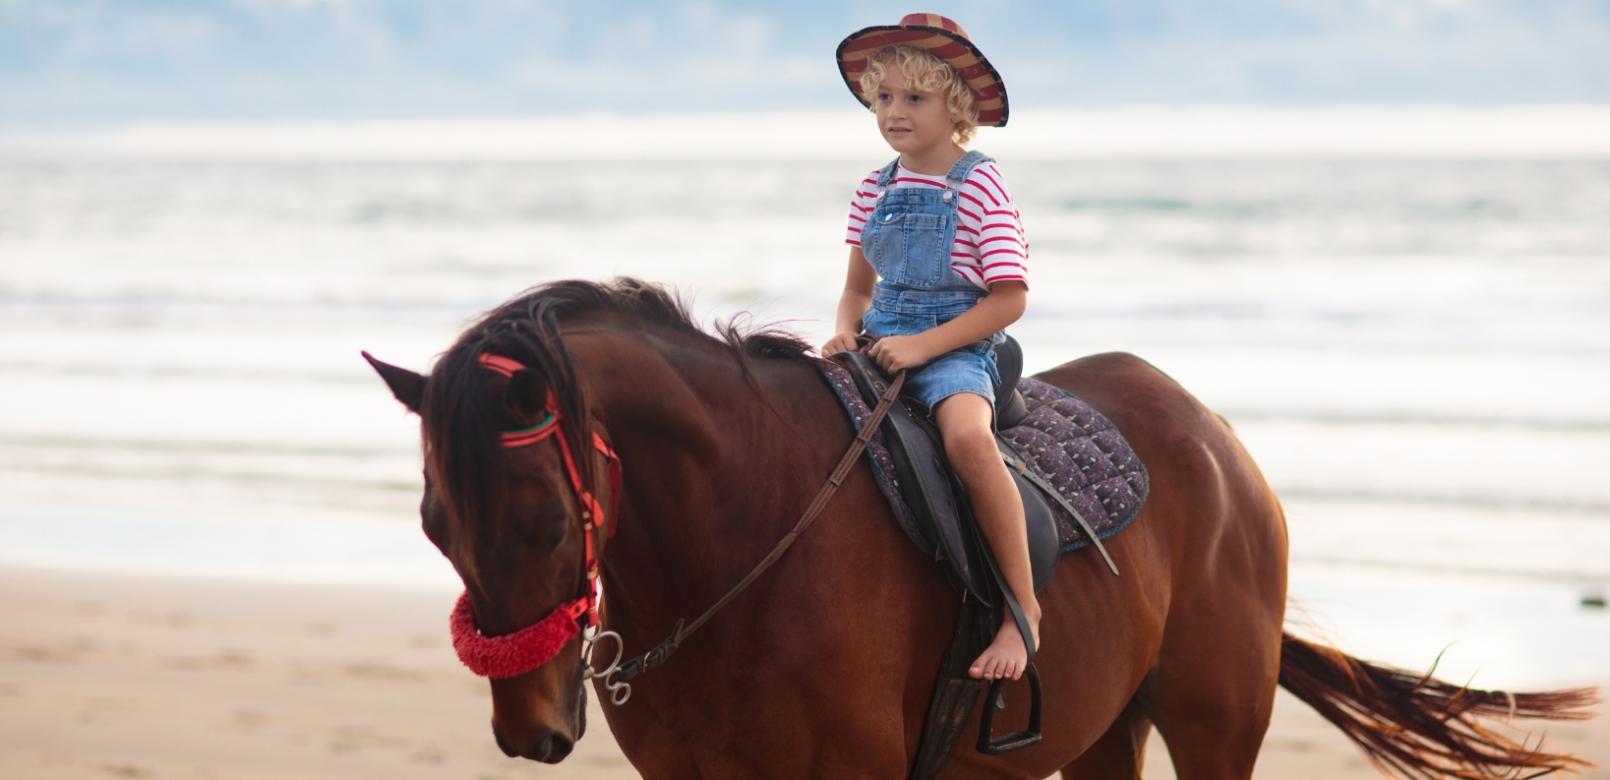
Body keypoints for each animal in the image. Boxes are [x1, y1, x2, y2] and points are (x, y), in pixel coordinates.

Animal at [368, 280, 1597, 780]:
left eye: (539, 523)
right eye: (434, 526)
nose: (530, 727)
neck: (743, 542)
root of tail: (1213, 440)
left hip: (1213, 723)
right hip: (1100, 730)